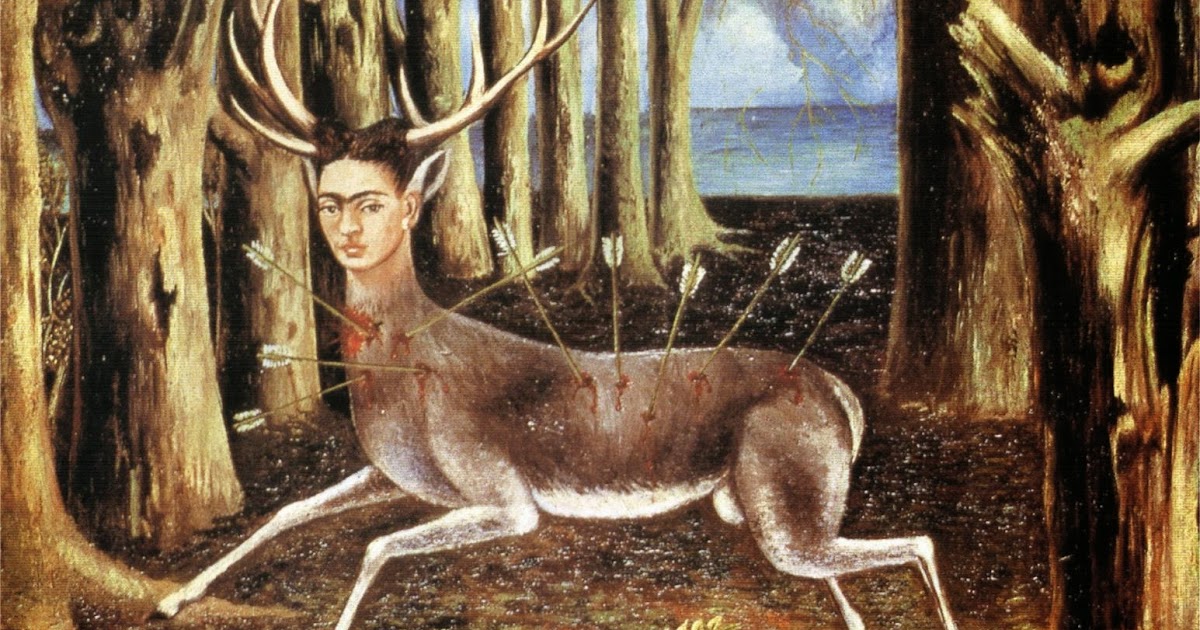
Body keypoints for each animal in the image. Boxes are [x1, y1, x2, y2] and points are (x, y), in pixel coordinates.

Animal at [155, 0, 959, 628]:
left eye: (374, 201)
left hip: (786, 482)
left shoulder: (502, 494)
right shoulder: (399, 475)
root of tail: (842, 395)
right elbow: (286, 511)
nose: (346, 236)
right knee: (843, 576)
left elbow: (376, 545)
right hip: (760, 502)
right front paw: (172, 599)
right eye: (328, 200)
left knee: (918, 542)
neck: (406, 374)